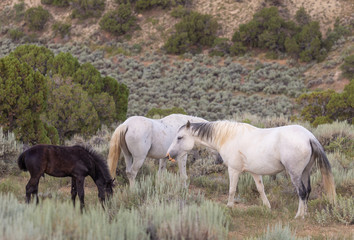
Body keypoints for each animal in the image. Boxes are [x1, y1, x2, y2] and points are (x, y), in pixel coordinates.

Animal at [167, 121, 336, 218]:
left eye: (180, 137)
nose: (169, 154)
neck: (229, 137)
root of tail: (309, 137)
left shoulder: (233, 170)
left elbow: (232, 190)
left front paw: (229, 207)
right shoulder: (255, 173)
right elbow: (261, 189)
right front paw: (267, 207)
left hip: (295, 174)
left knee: (301, 192)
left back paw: (299, 215)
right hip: (305, 172)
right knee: (307, 191)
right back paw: (305, 213)